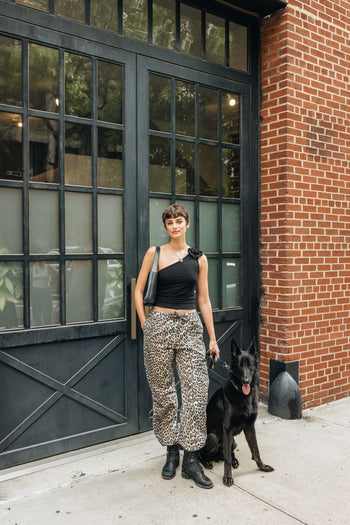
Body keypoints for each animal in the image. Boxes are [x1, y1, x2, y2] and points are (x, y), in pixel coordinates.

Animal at [200, 338, 274, 486]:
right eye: (239, 366)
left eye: (250, 365)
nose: (246, 381)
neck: (242, 394)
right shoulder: (227, 429)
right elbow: (227, 459)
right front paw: (228, 477)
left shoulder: (250, 427)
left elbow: (256, 450)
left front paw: (262, 467)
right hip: (213, 437)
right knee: (203, 455)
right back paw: (207, 462)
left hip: (233, 442)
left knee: (227, 452)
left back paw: (234, 460)